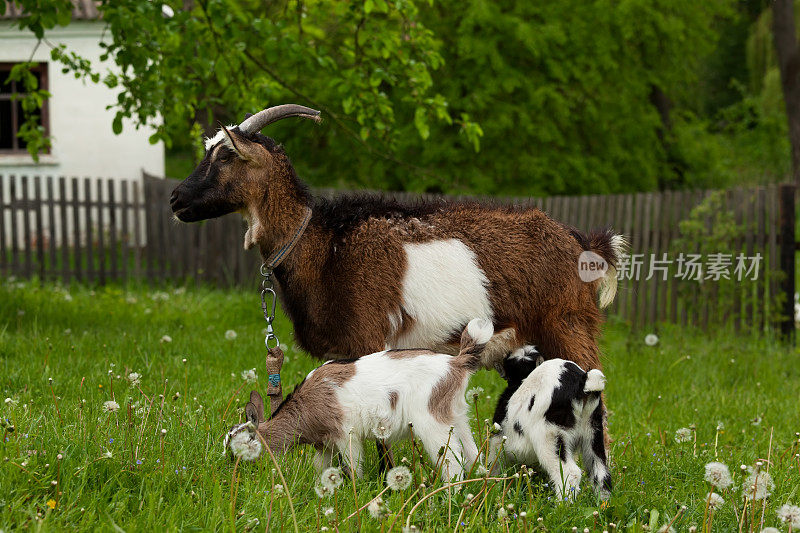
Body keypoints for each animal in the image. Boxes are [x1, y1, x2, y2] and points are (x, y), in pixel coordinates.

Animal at [170, 103, 624, 370]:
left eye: (225, 154)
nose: (176, 199)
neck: (325, 244)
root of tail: (582, 242)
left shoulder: (369, 340)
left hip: (569, 325)